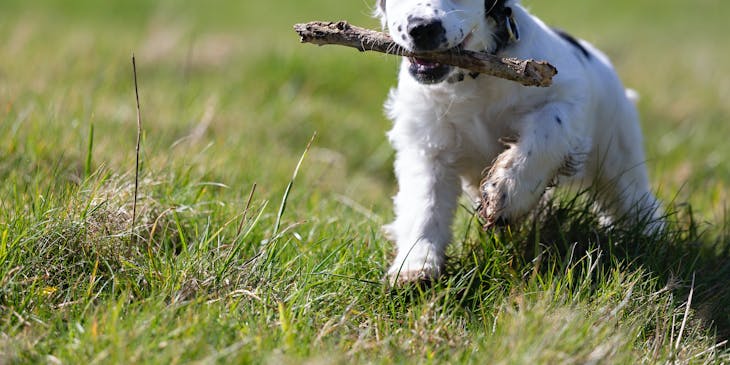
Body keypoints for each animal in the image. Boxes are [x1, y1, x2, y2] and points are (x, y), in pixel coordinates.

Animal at [372, 0, 664, 284]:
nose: (422, 29)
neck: (473, 78)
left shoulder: (566, 98)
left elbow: (545, 134)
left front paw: (506, 194)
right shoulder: (426, 144)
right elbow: (425, 203)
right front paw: (414, 267)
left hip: (618, 158)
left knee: (633, 200)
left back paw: (652, 240)